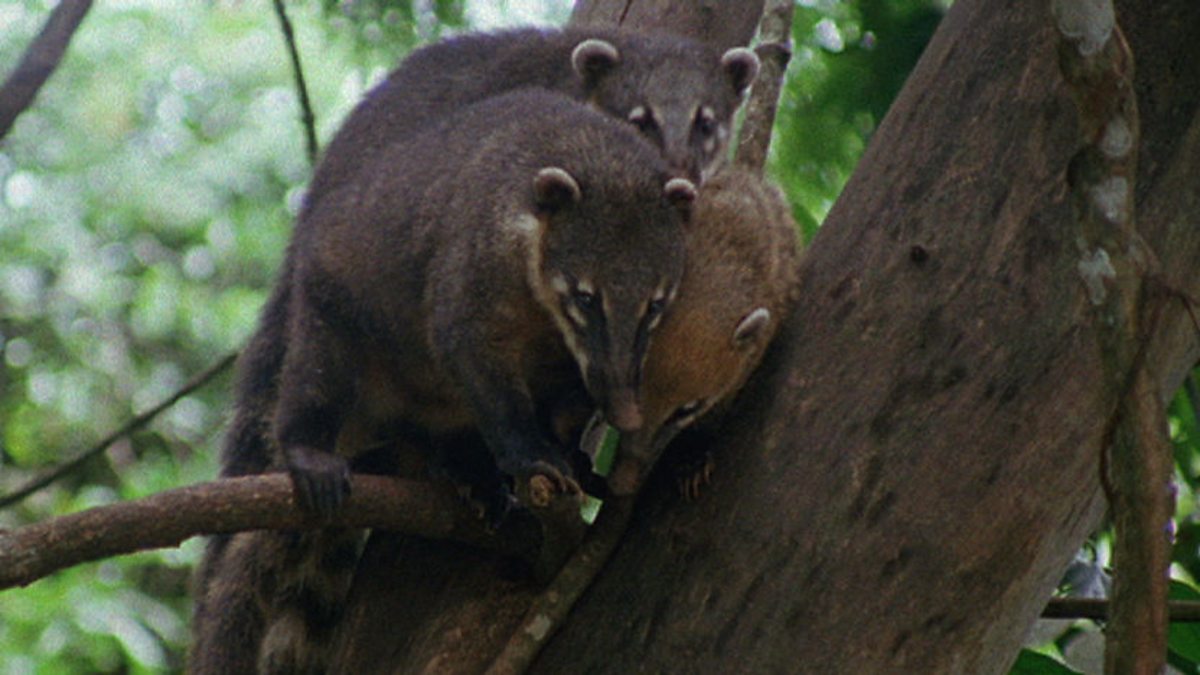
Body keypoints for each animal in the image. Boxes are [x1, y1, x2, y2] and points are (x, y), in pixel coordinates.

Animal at [190, 88, 695, 674]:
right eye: (587, 297)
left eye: (655, 305)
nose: (626, 412)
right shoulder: (472, 259)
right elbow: (472, 356)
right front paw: (532, 451)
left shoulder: (573, 358)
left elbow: (568, 396)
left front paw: (572, 452)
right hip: (329, 308)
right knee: (316, 377)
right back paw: (311, 446)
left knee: (447, 428)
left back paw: (471, 469)